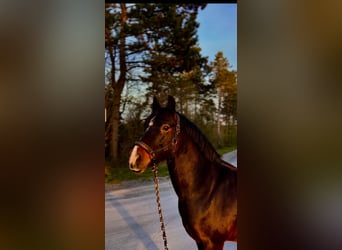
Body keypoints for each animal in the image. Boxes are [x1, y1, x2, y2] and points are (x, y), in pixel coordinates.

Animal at [129, 96, 238, 250]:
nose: (134, 159)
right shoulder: (200, 241)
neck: (208, 190)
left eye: (166, 127)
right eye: (145, 124)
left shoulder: (213, 243)